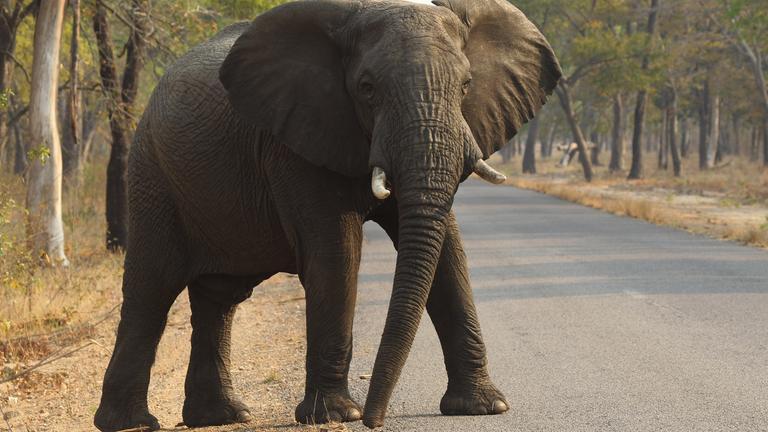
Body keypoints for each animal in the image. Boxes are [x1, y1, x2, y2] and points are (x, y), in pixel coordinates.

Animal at [93, 0, 561, 430]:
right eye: (367, 87)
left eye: (466, 86)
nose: (376, 420)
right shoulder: (295, 140)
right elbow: (337, 252)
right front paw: (337, 415)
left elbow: (448, 251)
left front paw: (484, 407)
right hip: (153, 174)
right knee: (152, 288)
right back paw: (133, 423)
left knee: (219, 297)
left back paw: (222, 416)